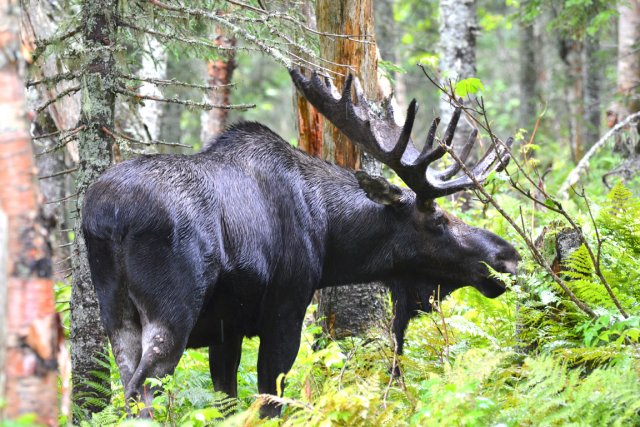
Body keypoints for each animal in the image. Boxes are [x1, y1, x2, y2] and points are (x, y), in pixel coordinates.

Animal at [81, 70, 520, 418]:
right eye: (438, 221)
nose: (508, 256)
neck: (328, 239)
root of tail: (106, 216)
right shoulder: (286, 309)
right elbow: (271, 400)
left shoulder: (227, 330)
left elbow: (228, 401)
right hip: (173, 310)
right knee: (143, 391)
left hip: (116, 314)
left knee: (126, 385)